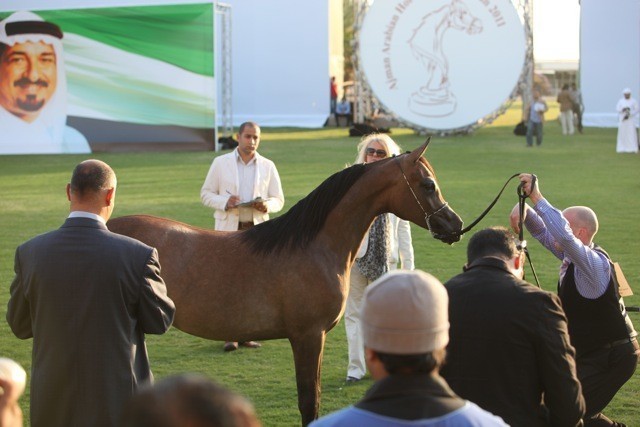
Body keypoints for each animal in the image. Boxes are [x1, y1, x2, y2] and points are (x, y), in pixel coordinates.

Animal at [107, 140, 463, 425]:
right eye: (428, 184)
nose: (455, 225)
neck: (313, 246)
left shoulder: (314, 338)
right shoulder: (307, 337)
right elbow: (309, 402)